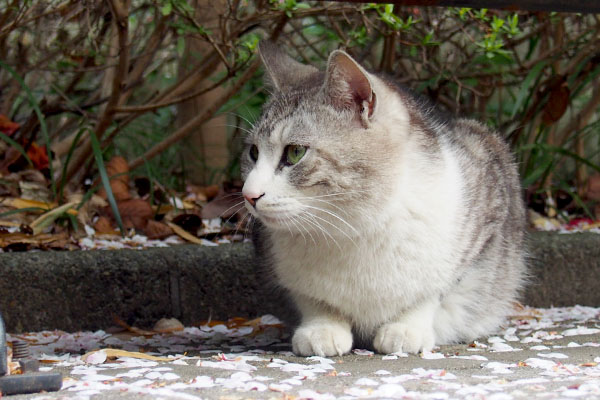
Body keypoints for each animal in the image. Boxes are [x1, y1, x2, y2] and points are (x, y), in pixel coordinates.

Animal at [239, 41, 524, 356]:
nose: (248, 195)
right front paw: (322, 328)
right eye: (253, 152)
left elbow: (433, 290)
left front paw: (407, 328)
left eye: (295, 152)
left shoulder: (488, 202)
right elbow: (312, 298)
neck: (351, 226)